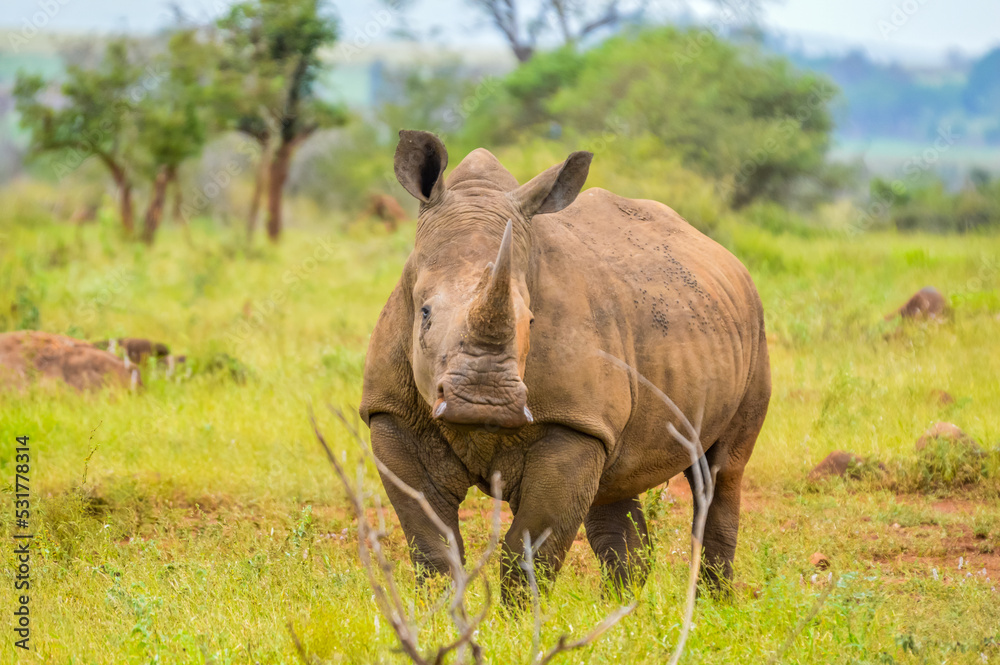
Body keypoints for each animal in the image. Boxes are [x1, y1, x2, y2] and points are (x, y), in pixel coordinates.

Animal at [360, 131, 771, 601]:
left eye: (531, 322)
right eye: (424, 312)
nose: (483, 401)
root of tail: (721, 253)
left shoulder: (573, 421)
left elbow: (529, 548)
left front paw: (519, 619)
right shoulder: (391, 412)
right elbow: (431, 544)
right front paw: (441, 613)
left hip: (754, 328)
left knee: (721, 473)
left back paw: (710, 606)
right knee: (616, 481)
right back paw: (624, 610)